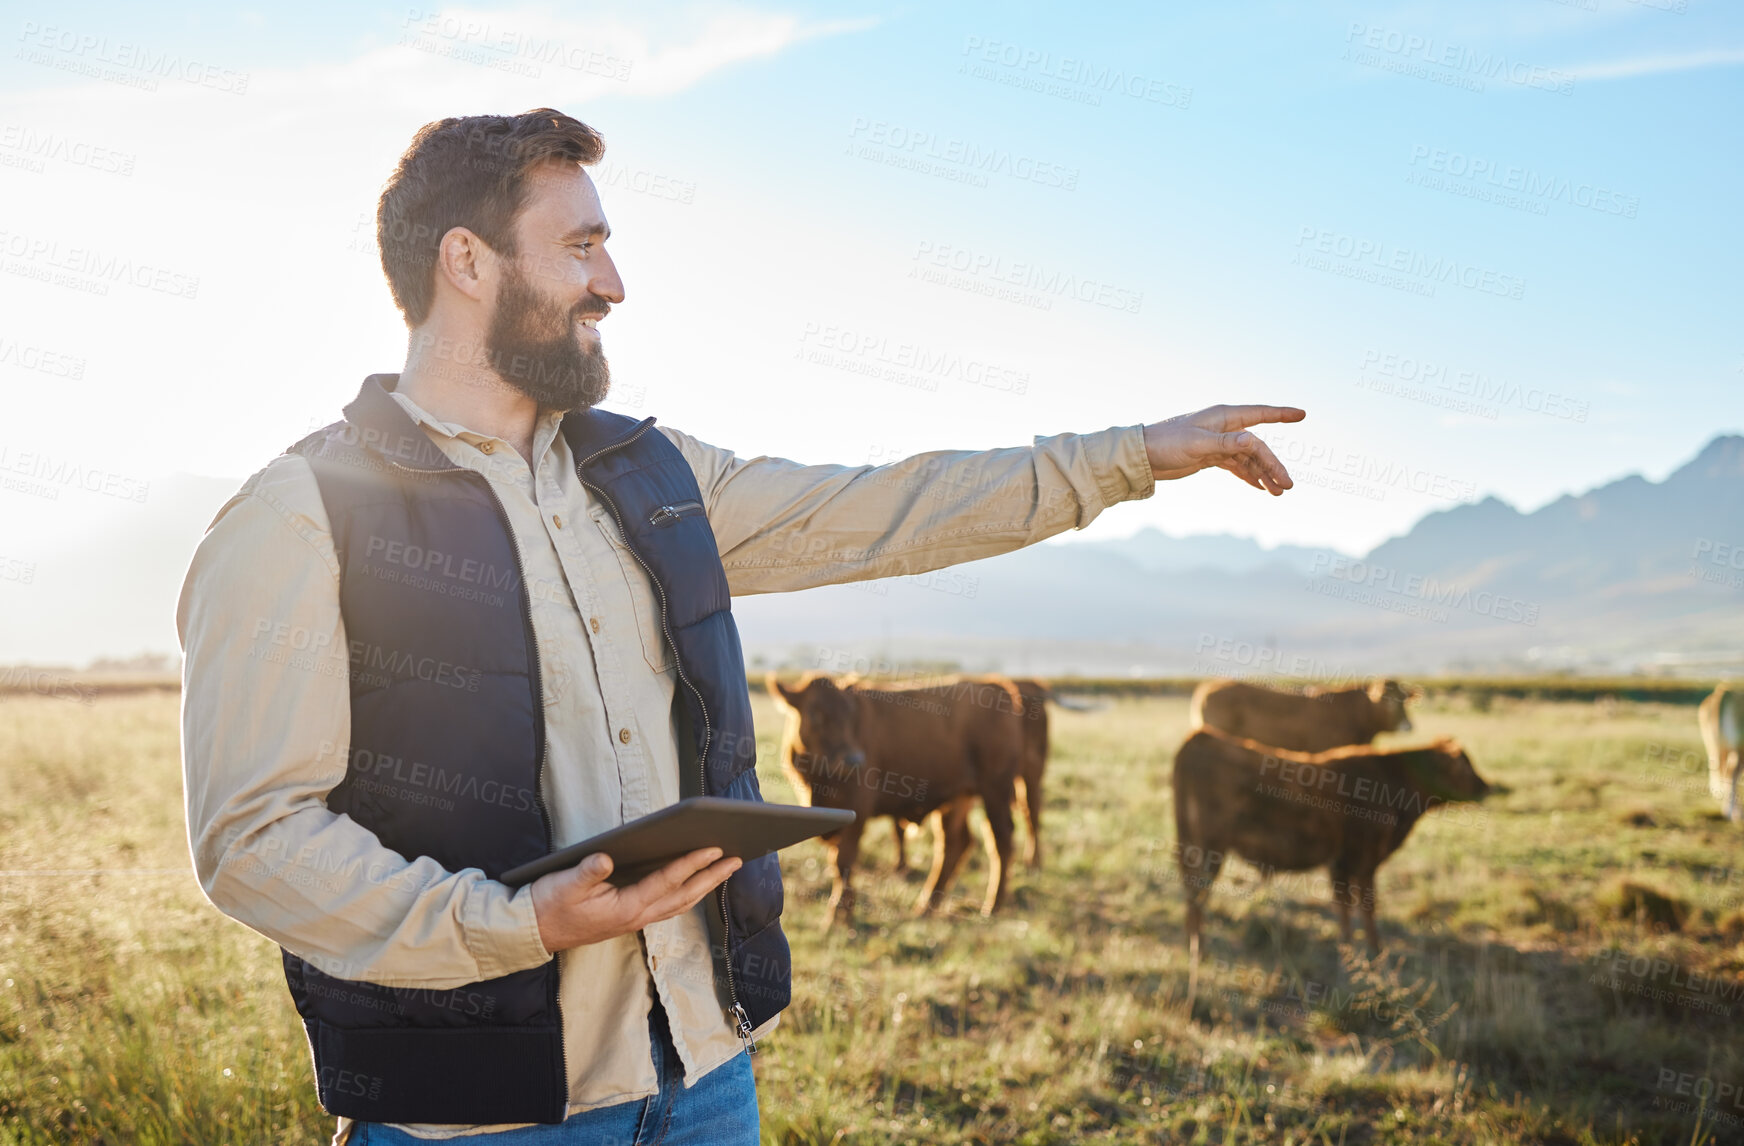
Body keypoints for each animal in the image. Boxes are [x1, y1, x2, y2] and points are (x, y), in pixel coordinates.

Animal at [763, 669, 1018, 927]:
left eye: (850, 715)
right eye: (816, 715)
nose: (854, 760)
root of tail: (994, 685)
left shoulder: (858, 811)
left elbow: (844, 860)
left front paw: (838, 914)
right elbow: (837, 861)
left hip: (995, 791)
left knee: (1001, 840)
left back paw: (992, 906)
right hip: (957, 799)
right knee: (954, 845)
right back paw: (927, 906)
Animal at [1171, 725, 1485, 955]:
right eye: (1466, 766)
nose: (1486, 785)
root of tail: (1200, 736)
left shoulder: (1340, 864)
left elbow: (1343, 905)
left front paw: (1348, 947)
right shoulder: (1365, 860)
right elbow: (1367, 906)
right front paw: (1374, 950)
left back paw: (1192, 943)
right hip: (1209, 850)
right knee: (1197, 892)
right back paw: (1200, 948)